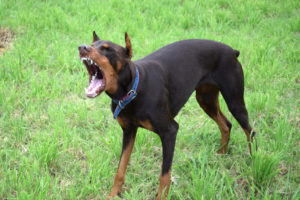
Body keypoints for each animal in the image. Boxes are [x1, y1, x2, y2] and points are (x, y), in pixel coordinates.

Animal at [77, 32, 255, 199]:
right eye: (92, 45)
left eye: (107, 49)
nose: (82, 47)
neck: (132, 89)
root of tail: (232, 51)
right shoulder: (129, 131)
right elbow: (120, 169)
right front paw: (113, 195)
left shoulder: (170, 131)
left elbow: (164, 175)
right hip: (206, 99)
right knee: (226, 124)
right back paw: (221, 155)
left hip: (234, 101)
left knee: (250, 131)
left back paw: (253, 161)